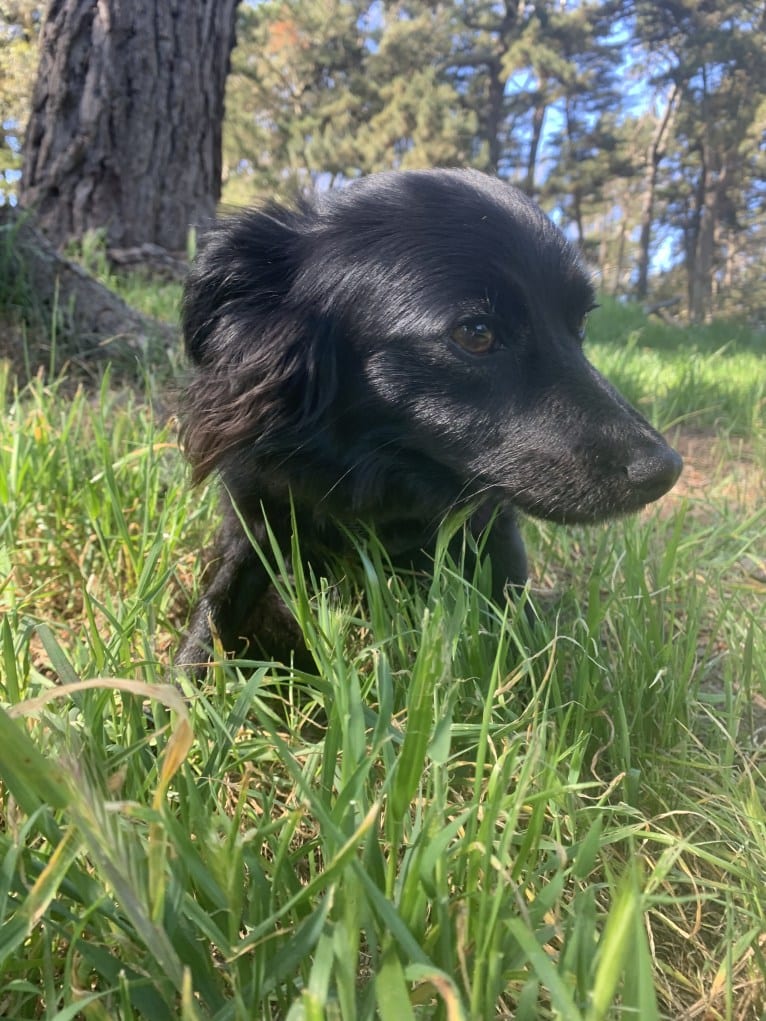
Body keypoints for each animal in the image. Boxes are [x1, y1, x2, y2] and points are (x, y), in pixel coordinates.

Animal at [178, 168, 682, 669]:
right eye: (476, 333)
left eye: (580, 324)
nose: (666, 470)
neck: (379, 480)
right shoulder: (256, 512)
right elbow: (215, 610)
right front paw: (185, 679)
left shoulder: (494, 528)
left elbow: (516, 625)